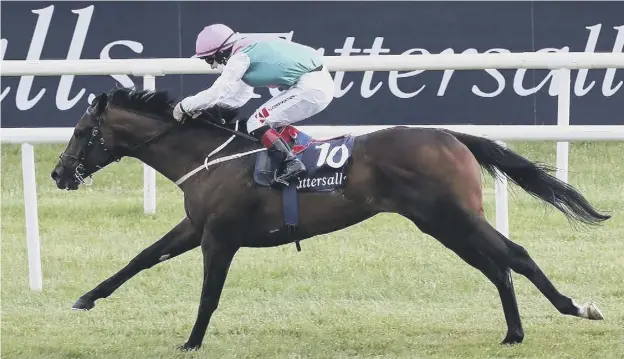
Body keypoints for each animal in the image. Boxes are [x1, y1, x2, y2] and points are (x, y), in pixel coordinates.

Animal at [50, 87, 608, 352]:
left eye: (80, 131)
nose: (57, 173)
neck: (211, 157)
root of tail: (451, 135)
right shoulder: (195, 227)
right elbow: (141, 257)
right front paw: (85, 298)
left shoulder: (219, 237)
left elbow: (209, 294)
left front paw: (190, 341)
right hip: (442, 224)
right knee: (498, 267)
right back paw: (513, 333)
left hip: (451, 218)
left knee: (515, 256)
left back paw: (575, 308)